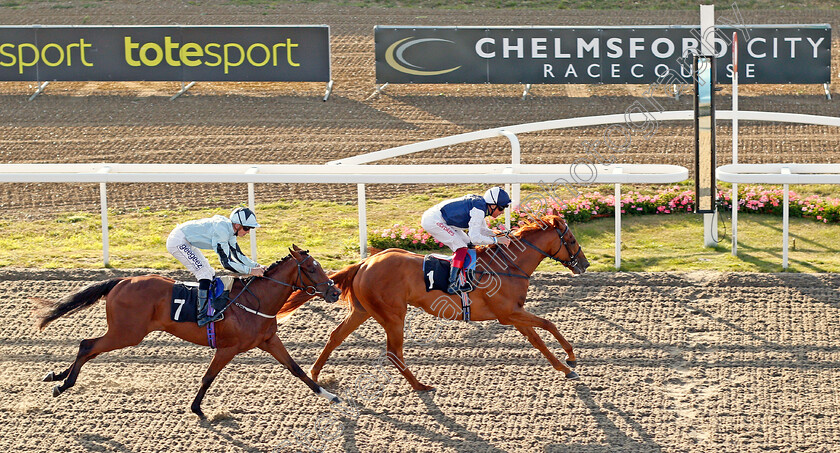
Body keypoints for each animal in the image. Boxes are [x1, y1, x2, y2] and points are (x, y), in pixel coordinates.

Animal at [32, 244, 342, 416]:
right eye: (311, 269)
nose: (335, 291)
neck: (255, 301)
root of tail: (122, 280)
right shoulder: (228, 348)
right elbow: (208, 377)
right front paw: (197, 409)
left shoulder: (269, 340)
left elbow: (296, 369)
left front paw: (329, 396)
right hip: (128, 333)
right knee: (87, 344)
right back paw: (63, 384)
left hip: (124, 332)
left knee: (89, 348)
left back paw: (56, 375)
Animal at [278, 215, 588, 388]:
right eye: (572, 240)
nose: (583, 264)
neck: (508, 265)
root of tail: (364, 262)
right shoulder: (508, 314)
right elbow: (547, 324)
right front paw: (569, 360)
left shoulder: (514, 313)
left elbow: (538, 337)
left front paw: (566, 364)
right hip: (393, 315)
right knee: (393, 352)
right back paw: (421, 386)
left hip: (363, 310)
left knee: (335, 336)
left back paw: (315, 374)